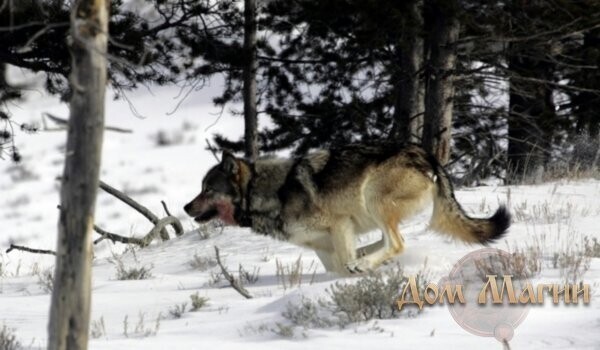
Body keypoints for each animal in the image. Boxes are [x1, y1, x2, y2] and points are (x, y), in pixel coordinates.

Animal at [184, 142, 510, 274]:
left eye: (208, 189)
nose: (186, 207)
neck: (268, 192)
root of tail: (426, 154)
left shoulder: (340, 224)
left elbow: (343, 264)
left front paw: (355, 272)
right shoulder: (322, 245)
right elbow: (335, 268)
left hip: (372, 198)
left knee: (397, 243)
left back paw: (364, 263)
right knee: (389, 241)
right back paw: (365, 259)